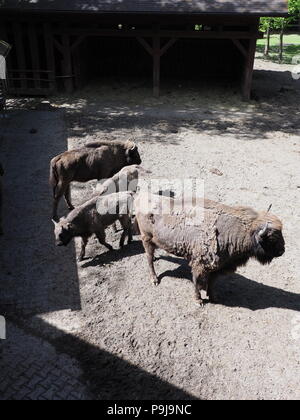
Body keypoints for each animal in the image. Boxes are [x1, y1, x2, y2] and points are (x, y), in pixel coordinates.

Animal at [135, 193, 284, 306]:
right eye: (271, 238)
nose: (282, 251)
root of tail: (140, 197)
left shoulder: (217, 267)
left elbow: (212, 282)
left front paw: (213, 297)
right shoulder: (199, 264)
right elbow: (196, 281)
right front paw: (199, 300)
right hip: (146, 239)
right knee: (149, 259)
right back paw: (154, 279)